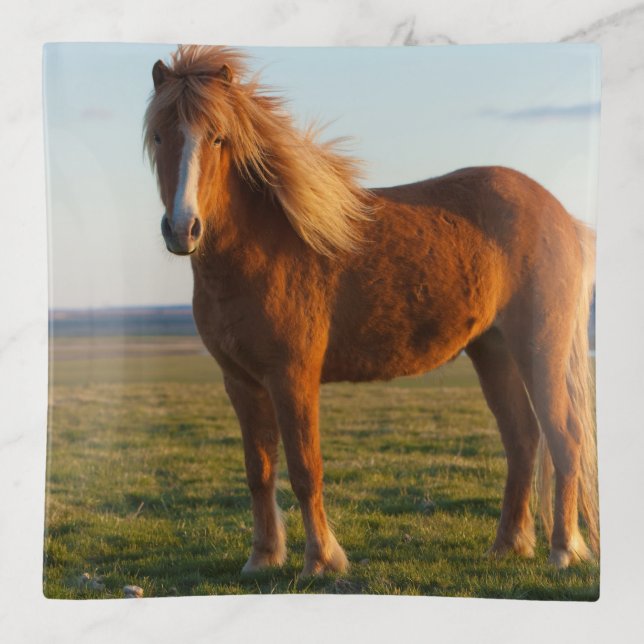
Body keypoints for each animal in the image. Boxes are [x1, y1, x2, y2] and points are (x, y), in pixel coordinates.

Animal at [144, 45, 598, 576]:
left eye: (217, 137)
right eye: (159, 135)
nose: (182, 228)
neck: (261, 246)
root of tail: (559, 213)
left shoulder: (292, 376)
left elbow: (305, 468)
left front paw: (321, 560)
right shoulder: (239, 381)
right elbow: (259, 470)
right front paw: (262, 557)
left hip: (539, 350)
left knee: (563, 437)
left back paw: (563, 550)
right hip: (493, 351)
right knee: (523, 439)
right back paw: (508, 544)